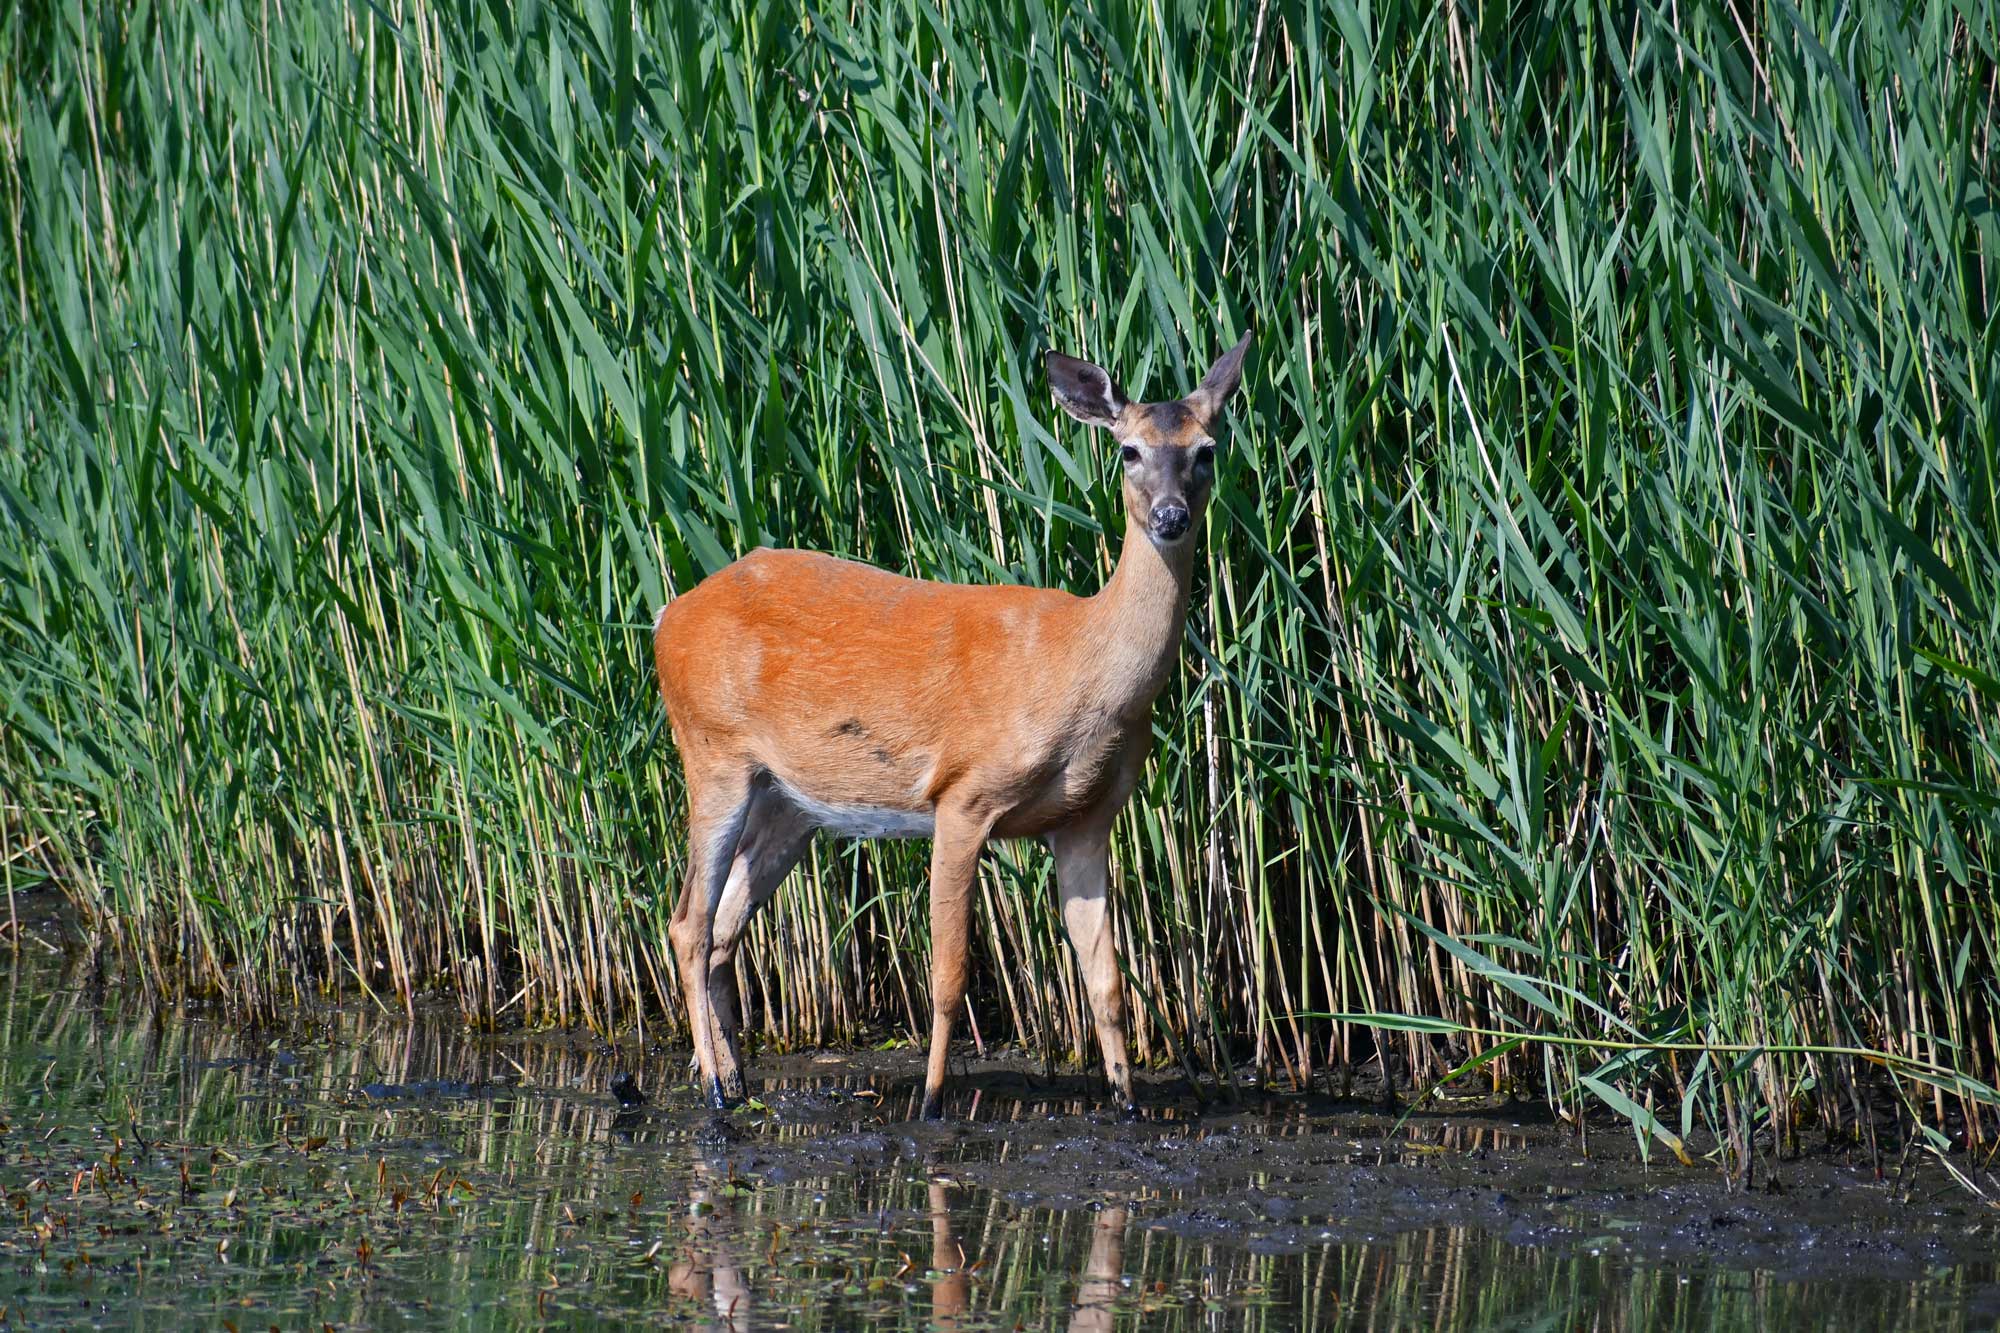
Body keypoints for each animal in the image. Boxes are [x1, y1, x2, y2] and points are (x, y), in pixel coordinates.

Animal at [652, 328, 1251, 1119]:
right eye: (1128, 449)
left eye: (1206, 448)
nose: (1171, 517)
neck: (1080, 668)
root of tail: (668, 616)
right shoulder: (963, 794)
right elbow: (949, 974)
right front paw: (933, 1101)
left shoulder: (1088, 819)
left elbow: (1107, 982)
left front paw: (1127, 1102)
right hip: (711, 748)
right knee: (688, 922)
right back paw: (717, 1092)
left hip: (791, 803)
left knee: (724, 928)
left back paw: (737, 1078)